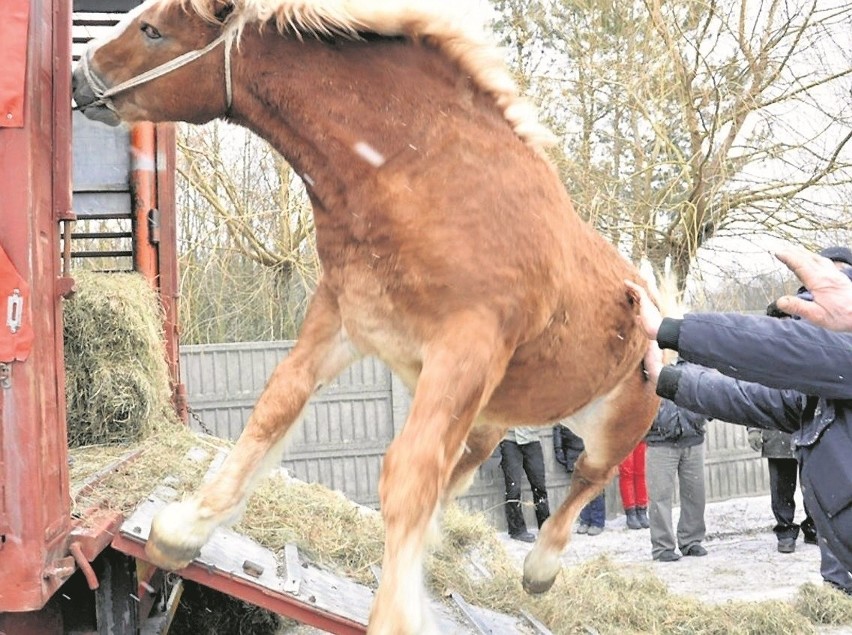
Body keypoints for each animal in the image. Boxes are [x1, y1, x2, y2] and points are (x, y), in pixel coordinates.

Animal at [73, 2, 660, 632]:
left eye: (152, 30)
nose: (79, 78)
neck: (422, 175)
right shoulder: (343, 317)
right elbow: (275, 408)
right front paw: (184, 531)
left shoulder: (467, 345)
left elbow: (409, 475)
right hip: (492, 408)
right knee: (469, 463)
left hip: (614, 424)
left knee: (587, 477)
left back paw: (541, 568)